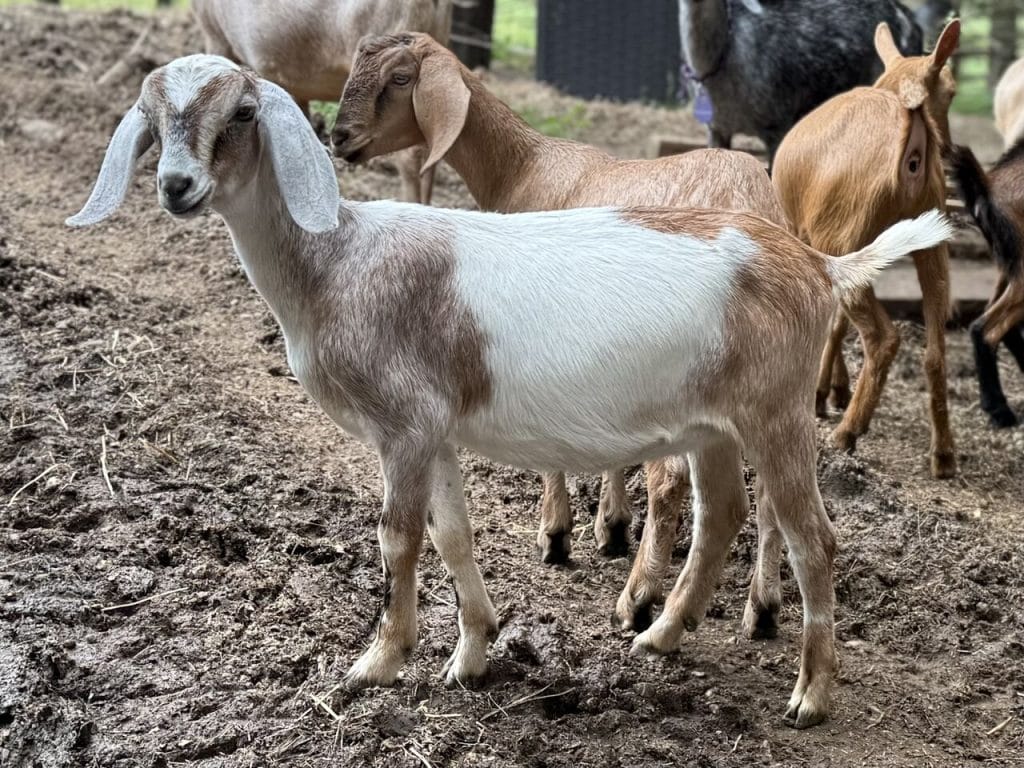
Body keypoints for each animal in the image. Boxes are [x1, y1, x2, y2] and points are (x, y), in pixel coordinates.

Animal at [332, 32, 789, 588]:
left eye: (400, 78)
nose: (338, 137)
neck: (523, 167)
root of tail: (751, 198)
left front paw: (556, 535)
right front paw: (611, 527)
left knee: (671, 480)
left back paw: (642, 596)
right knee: (773, 488)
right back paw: (762, 603)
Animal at [773, 20, 960, 479]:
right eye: (948, 90)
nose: (949, 149)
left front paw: (822, 394)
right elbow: (836, 322)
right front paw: (829, 391)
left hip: (846, 234)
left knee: (883, 336)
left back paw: (848, 432)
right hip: (930, 244)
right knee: (934, 347)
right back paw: (943, 455)